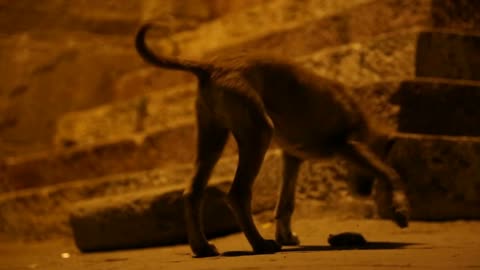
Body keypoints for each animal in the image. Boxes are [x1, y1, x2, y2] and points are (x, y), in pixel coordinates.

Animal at [135, 24, 408, 258]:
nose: (362, 192)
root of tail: (210, 65)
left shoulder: (293, 158)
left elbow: (285, 203)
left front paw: (286, 236)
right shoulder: (348, 145)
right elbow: (390, 172)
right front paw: (400, 210)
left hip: (212, 138)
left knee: (192, 192)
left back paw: (202, 247)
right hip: (258, 132)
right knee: (237, 193)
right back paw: (260, 244)